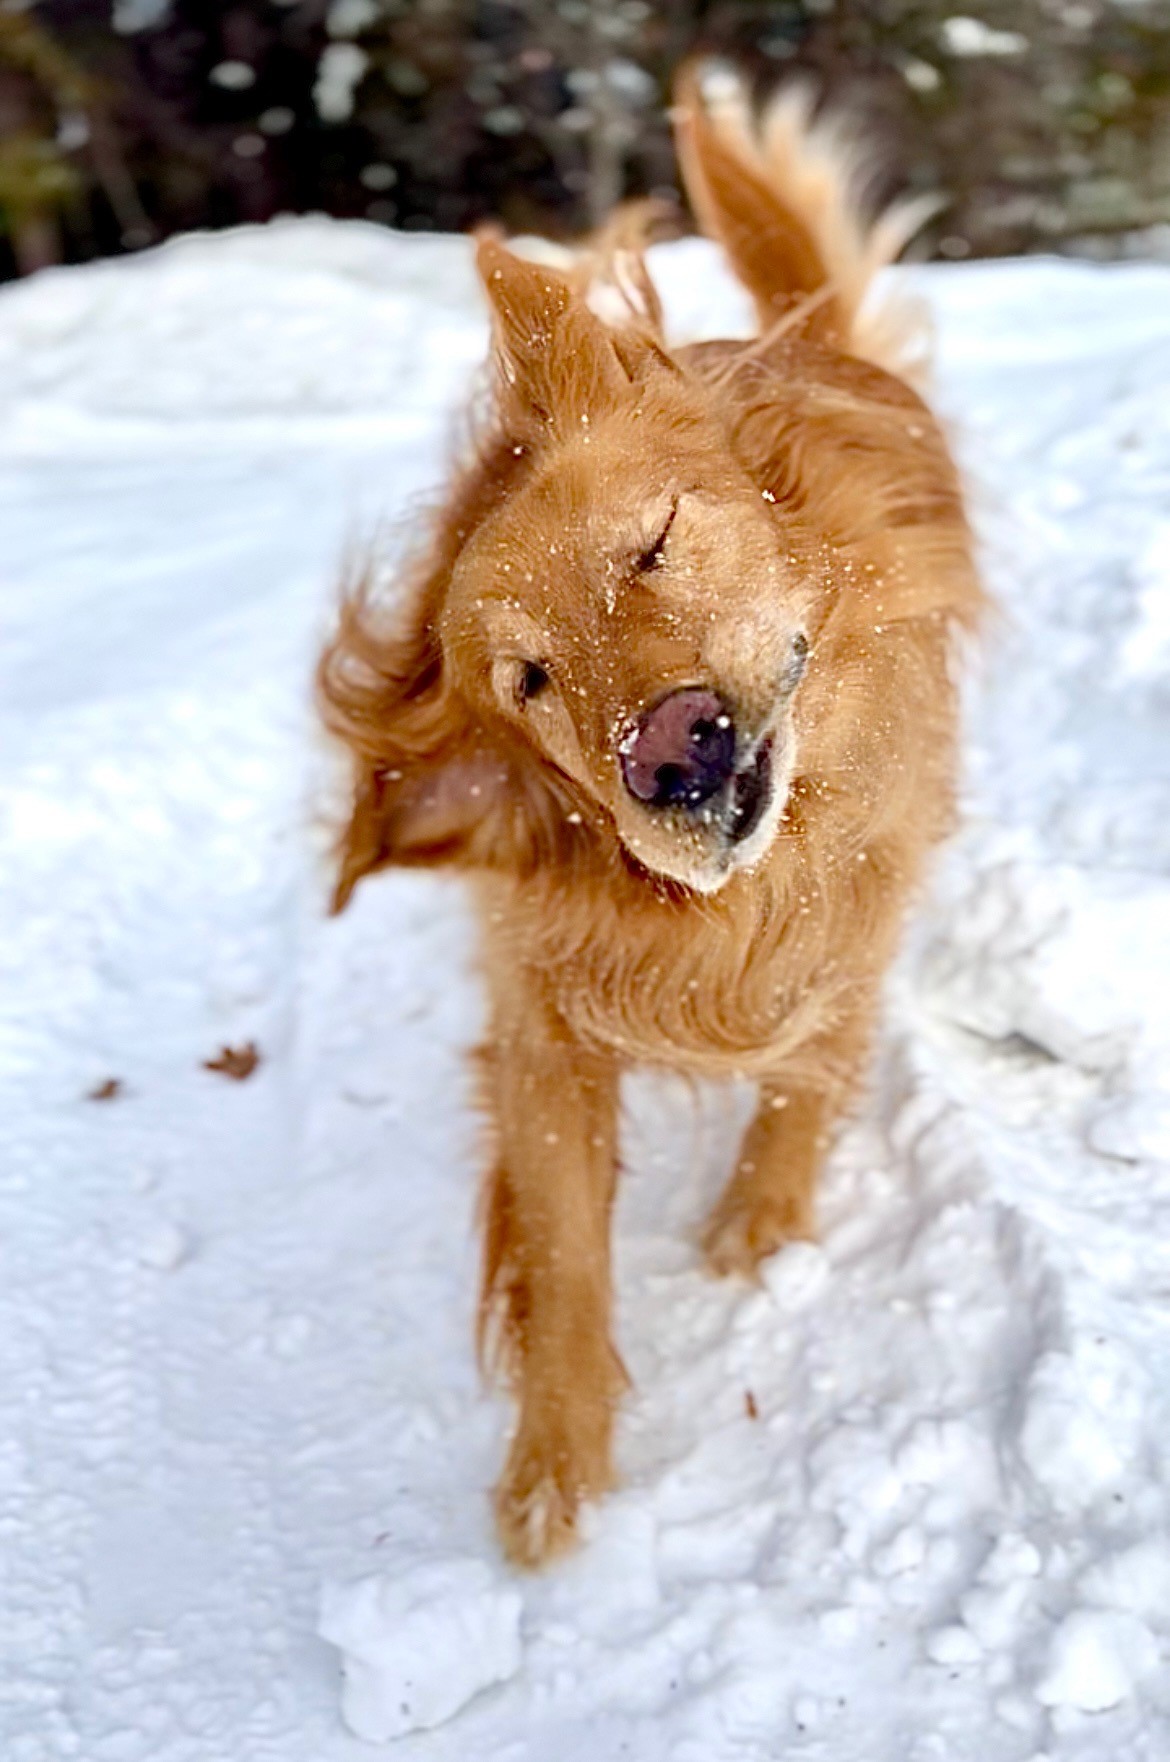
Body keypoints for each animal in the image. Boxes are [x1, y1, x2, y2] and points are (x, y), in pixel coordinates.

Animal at [315, 79, 979, 1571]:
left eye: (656, 539)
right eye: (529, 681)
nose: (677, 747)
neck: (741, 901)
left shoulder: (854, 919)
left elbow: (806, 1074)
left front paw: (759, 1230)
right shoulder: (541, 1022)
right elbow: (563, 1255)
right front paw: (555, 1466)